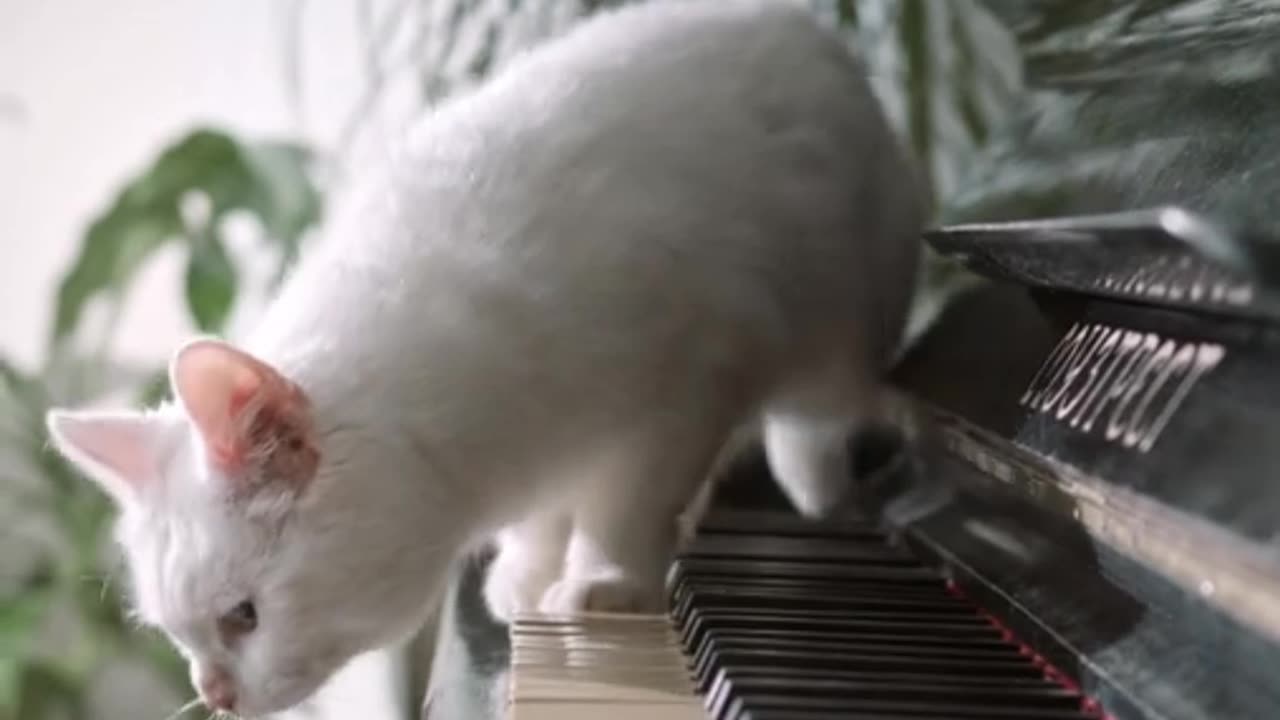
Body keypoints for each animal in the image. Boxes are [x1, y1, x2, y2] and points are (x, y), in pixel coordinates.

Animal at [42, 0, 921, 712]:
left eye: (243, 617)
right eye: (179, 636)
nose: (215, 695)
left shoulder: (688, 384)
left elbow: (626, 502)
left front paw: (605, 583)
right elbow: (548, 515)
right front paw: (529, 573)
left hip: (838, 316)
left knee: (818, 415)